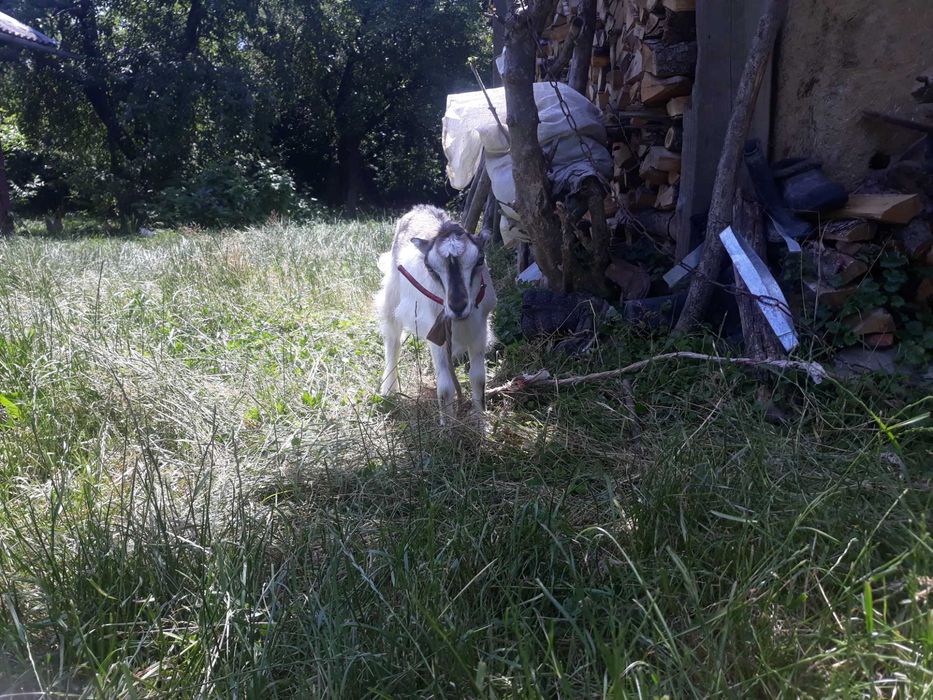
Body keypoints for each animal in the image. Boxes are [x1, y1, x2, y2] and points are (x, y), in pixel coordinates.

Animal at [375, 205, 497, 424]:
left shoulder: (480, 330)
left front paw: (480, 419)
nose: (457, 306)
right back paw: (389, 390)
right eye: (430, 267)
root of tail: (419, 208)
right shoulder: (437, 331)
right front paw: (447, 425)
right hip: (392, 296)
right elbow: (445, 387)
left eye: (480, 260)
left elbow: (478, 378)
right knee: (392, 340)